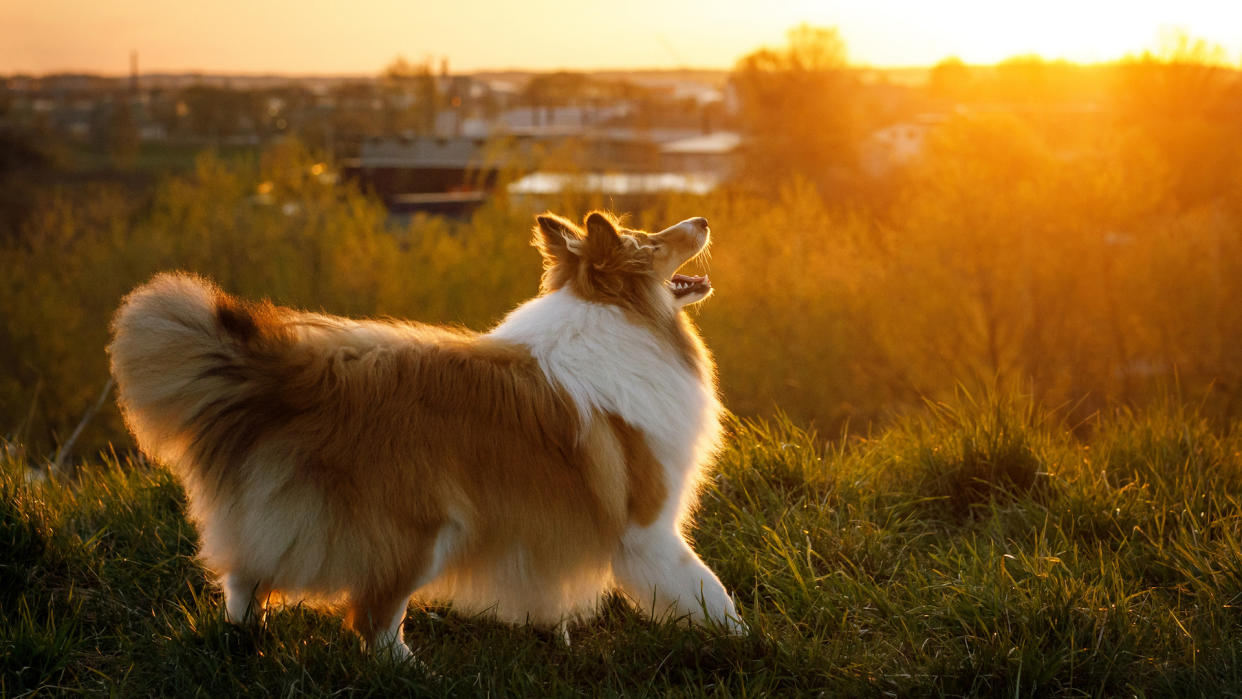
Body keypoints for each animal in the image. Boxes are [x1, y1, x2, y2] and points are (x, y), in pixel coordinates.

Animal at [109, 212, 735, 655]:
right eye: (651, 241)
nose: (703, 220)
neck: (615, 316)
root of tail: (294, 373)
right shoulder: (648, 525)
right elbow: (706, 590)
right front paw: (742, 640)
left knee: (244, 579)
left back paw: (242, 640)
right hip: (418, 532)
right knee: (372, 622)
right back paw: (413, 671)